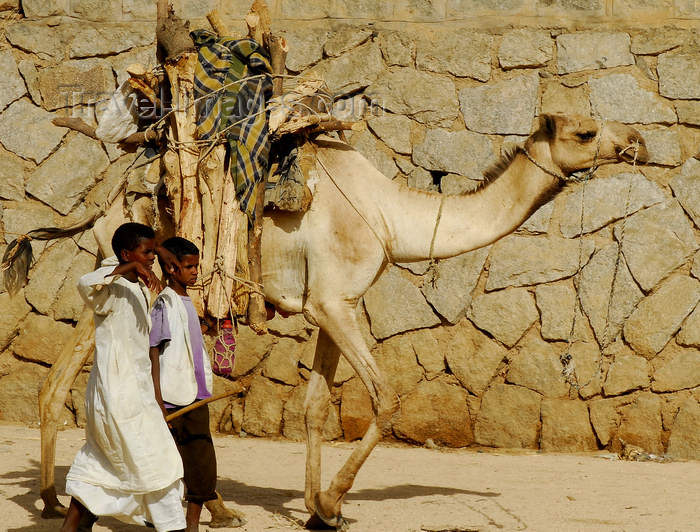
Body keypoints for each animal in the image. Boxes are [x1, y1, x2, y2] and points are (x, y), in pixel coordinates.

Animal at [30, 114, 648, 528]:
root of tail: (108, 192)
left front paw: (314, 507)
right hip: (133, 277)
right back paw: (76, 500)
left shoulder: (329, 306)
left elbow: (314, 407)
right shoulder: (335, 302)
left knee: (65, 380)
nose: (637, 141)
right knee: (93, 382)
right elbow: (385, 398)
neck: (389, 215)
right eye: (585, 132)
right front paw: (332, 502)